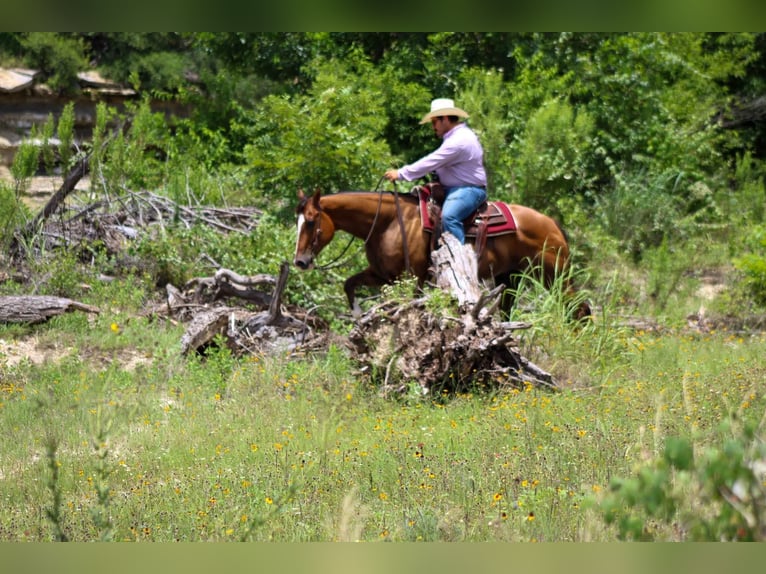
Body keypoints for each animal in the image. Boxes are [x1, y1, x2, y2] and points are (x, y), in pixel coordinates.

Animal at [293, 188, 591, 319]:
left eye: (311, 221)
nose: (301, 261)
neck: (388, 222)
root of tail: (552, 224)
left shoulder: (412, 278)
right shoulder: (382, 275)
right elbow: (349, 284)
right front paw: (357, 314)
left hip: (553, 275)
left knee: (579, 308)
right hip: (511, 278)